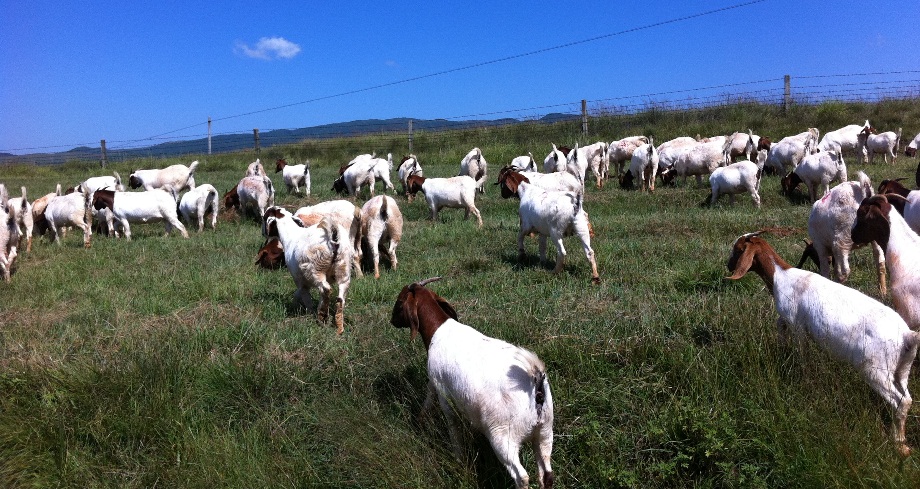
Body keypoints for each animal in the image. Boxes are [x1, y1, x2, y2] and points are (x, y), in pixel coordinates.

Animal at [266, 204, 356, 334]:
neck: (290, 235)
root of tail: (332, 234)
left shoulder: (300, 280)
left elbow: (305, 297)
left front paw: (310, 313)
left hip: (316, 269)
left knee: (325, 289)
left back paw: (322, 317)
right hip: (343, 267)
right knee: (340, 297)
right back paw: (339, 326)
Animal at [390, 276, 552, 486]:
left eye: (400, 300)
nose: (391, 320)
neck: (439, 330)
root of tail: (535, 379)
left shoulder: (443, 390)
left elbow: (451, 423)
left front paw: (458, 458)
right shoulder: (435, 382)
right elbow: (428, 396)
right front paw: (420, 419)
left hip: (503, 435)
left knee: (522, 476)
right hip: (545, 431)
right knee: (546, 474)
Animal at [724, 232, 920, 454]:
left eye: (738, 249)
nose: (728, 266)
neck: (780, 276)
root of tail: (907, 335)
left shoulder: (797, 324)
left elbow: (801, 352)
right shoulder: (788, 319)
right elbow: (779, 324)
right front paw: (782, 349)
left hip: (874, 368)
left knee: (900, 401)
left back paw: (899, 445)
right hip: (901, 368)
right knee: (907, 398)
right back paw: (902, 441)